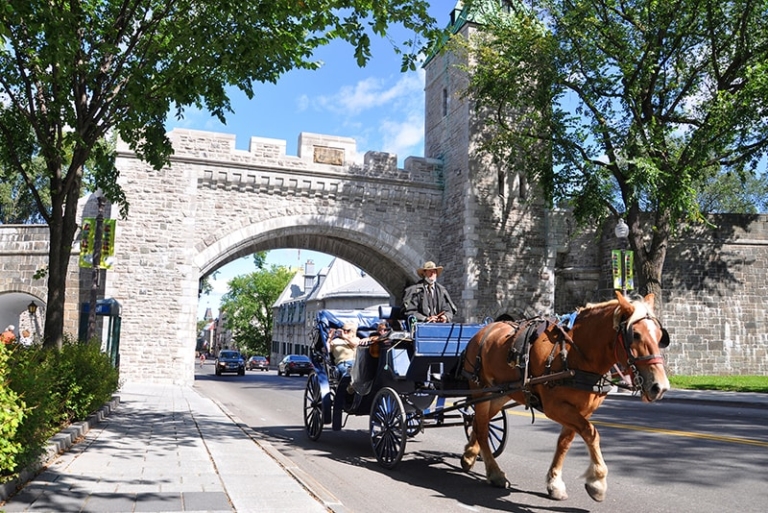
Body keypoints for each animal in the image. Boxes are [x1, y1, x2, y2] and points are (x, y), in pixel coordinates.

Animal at [460, 292, 668, 500]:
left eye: (660, 336)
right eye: (636, 335)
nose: (660, 387)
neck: (575, 354)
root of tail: (481, 331)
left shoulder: (584, 409)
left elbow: (566, 441)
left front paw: (555, 482)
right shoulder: (554, 407)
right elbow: (591, 433)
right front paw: (597, 481)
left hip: (499, 394)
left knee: (480, 422)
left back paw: (470, 455)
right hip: (481, 389)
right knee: (482, 428)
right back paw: (494, 472)